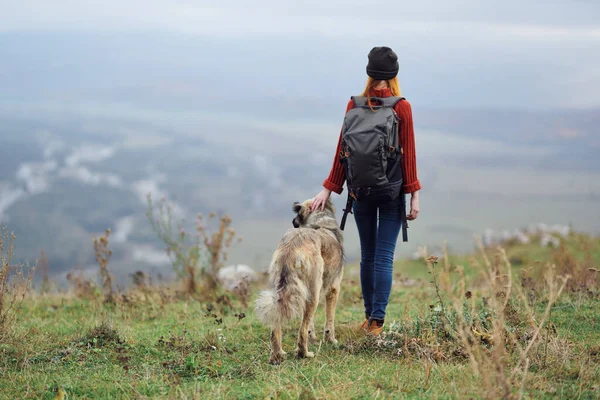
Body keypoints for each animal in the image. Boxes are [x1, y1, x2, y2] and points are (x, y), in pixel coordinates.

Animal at [255, 198, 344, 364]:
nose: (293, 222)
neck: (319, 222)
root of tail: (293, 245)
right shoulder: (333, 289)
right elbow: (329, 320)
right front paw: (331, 340)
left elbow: (310, 323)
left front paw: (313, 337)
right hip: (313, 294)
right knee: (301, 331)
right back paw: (304, 353)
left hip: (282, 291)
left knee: (276, 326)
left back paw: (277, 355)